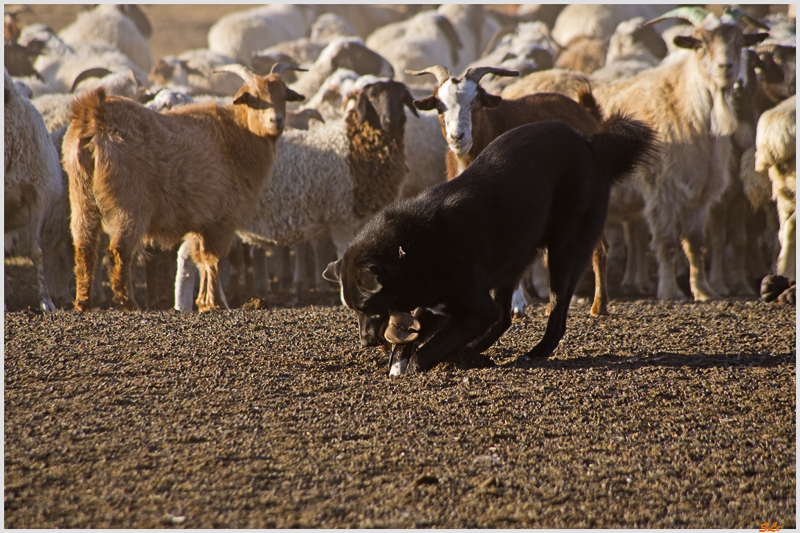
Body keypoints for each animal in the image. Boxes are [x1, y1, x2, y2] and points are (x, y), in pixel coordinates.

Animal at [62, 62, 304, 312]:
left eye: (284, 96)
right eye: (253, 98)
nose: (276, 121)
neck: (236, 136)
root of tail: (95, 116)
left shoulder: (203, 220)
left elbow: (200, 258)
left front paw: (203, 302)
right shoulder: (223, 219)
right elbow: (213, 259)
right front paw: (216, 302)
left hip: (81, 195)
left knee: (84, 246)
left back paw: (83, 302)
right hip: (129, 203)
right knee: (119, 250)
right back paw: (129, 302)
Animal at [324, 114, 656, 372]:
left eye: (366, 307)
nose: (365, 342)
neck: (409, 250)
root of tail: (590, 146)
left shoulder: (474, 308)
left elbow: (430, 348)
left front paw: (415, 364)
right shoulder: (437, 303)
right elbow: (420, 335)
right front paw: (400, 359)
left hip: (564, 251)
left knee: (554, 315)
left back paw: (533, 353)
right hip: (514, 259)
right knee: (503, 317)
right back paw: (474, 351)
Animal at [406, 66, 612, 316]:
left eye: (476, 105)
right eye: (439, 106)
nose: (457, 137)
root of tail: (587, 113)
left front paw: (515, 304)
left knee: (598, 247)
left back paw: (598, 305)